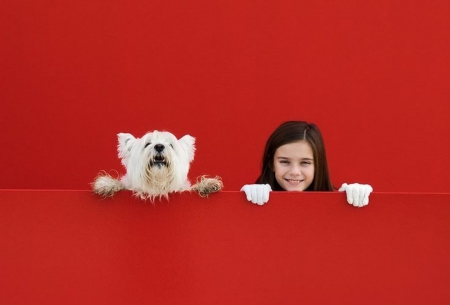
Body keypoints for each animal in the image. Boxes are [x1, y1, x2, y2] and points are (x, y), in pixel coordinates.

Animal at [92, 130, 223, 200]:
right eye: (147, 144)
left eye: (171, 145)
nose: (159, 146)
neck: (157, 184)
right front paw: (106, 184)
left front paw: (207, 185)